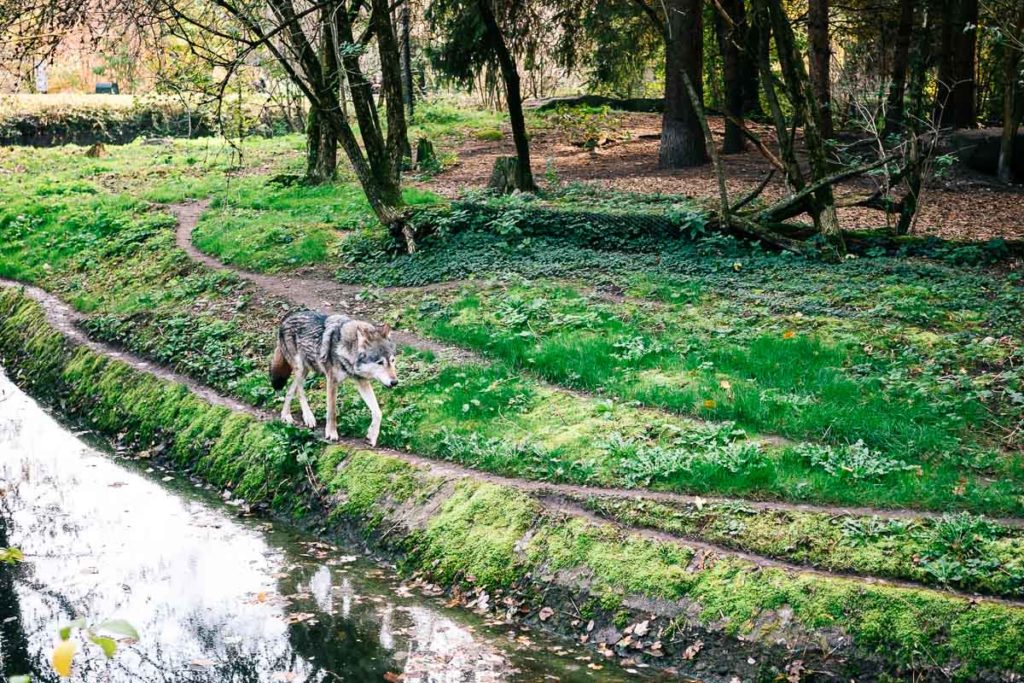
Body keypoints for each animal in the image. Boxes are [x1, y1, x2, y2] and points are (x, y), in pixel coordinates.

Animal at [269, 310, 398, 446]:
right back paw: (308, 417)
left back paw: (286, 415)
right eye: (380, 362)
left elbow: (378, 412)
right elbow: (332, 411)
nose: (395, 382)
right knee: (300, 392)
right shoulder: (332, 380)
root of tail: (286, 319)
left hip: (305, 370)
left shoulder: (362, 381)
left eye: (392, 360)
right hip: (300, 368)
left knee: (290, 390)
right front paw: (331, 433)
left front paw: (371, 436)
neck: (345, 348)